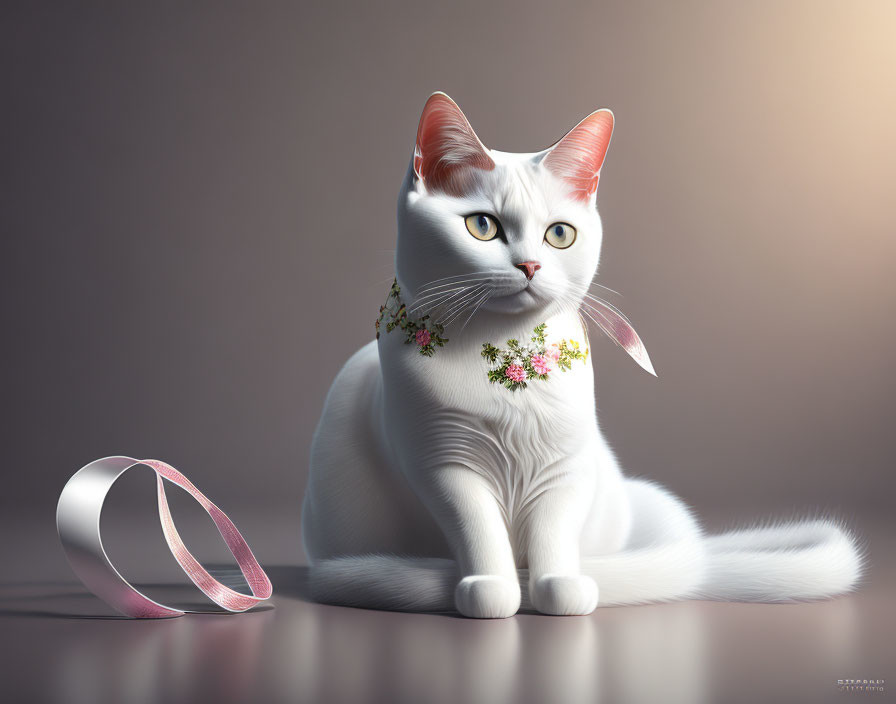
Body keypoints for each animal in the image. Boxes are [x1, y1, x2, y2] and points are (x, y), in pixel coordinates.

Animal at [304, 92, 864, 616]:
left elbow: (553, 530)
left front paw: (558, 585)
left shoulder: (566, 464)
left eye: (559, 234)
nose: (530, 265)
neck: (504, 357)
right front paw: (492, 587)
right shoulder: (443, 463)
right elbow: (477, 527)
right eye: (482, 226)